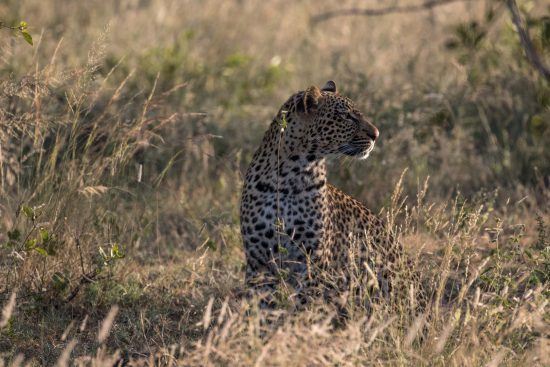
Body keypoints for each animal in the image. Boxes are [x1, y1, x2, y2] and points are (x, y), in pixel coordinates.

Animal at [239, 81, 412, 310]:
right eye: (347, 116)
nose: (376, 134)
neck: (289, 176)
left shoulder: (314, 261)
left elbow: (307, 306)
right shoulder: (257, 262)